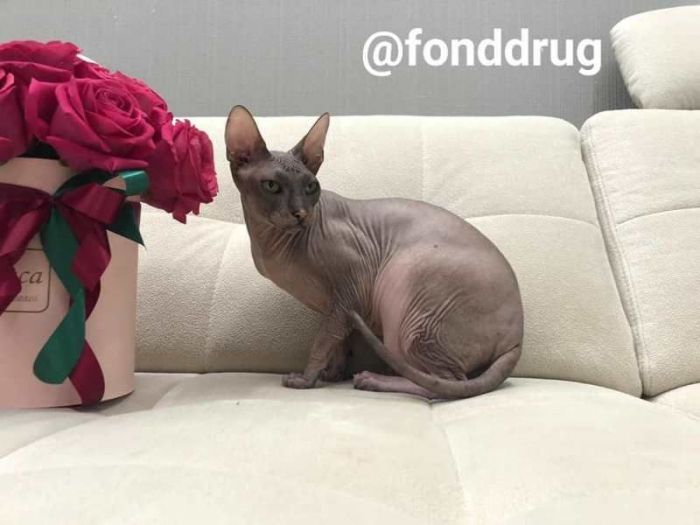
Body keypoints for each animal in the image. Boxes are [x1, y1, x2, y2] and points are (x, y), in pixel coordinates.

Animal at [225, 106, 523, 399]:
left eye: (311, 187)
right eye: (272, 186)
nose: (300, 213)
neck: (270, 243)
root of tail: (517, 338)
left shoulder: (351, 287)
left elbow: (322, 341)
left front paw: (306, 379)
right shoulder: (335, 307)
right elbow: (338, 341)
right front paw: (332, 374)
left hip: (409, 289)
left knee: (443, 384)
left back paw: (373, 380)